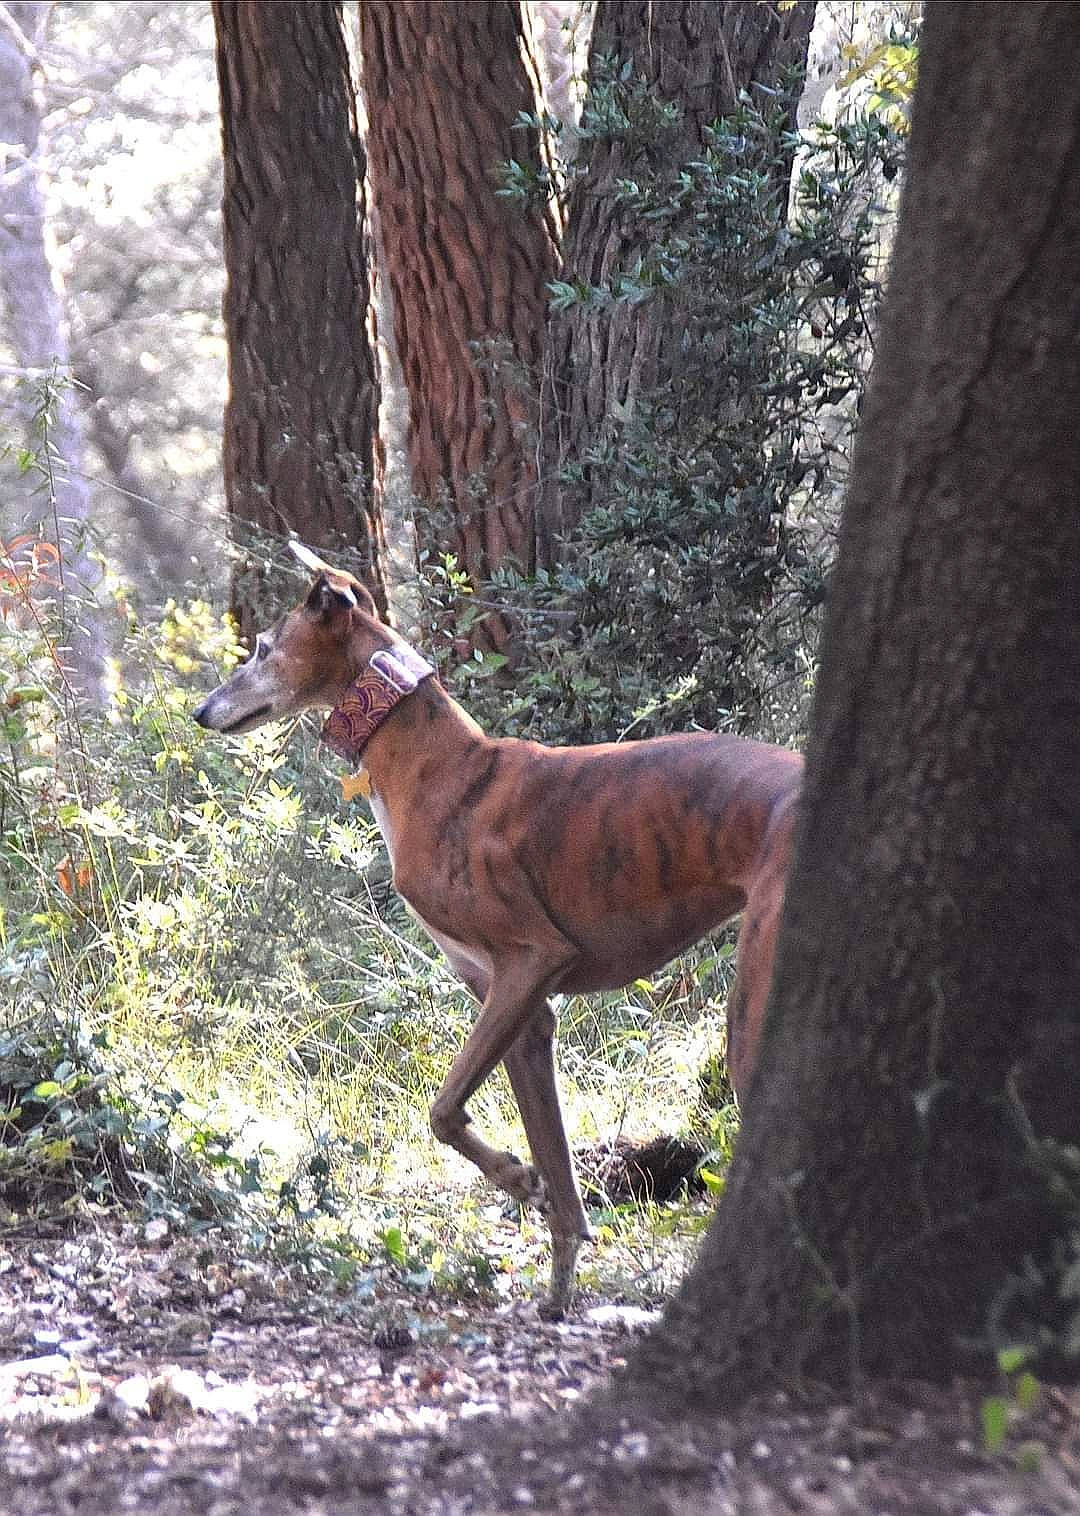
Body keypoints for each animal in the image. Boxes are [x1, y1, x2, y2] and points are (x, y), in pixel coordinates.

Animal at [192, 542, 803, 1317]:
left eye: (264, 649)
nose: (200, 711)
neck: (438, 766)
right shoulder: (523, 1010)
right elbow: (562, 1188)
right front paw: (558, 1290)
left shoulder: (530, 960)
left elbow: (443, 1112)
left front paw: (516, 1178)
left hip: (751, 1010)